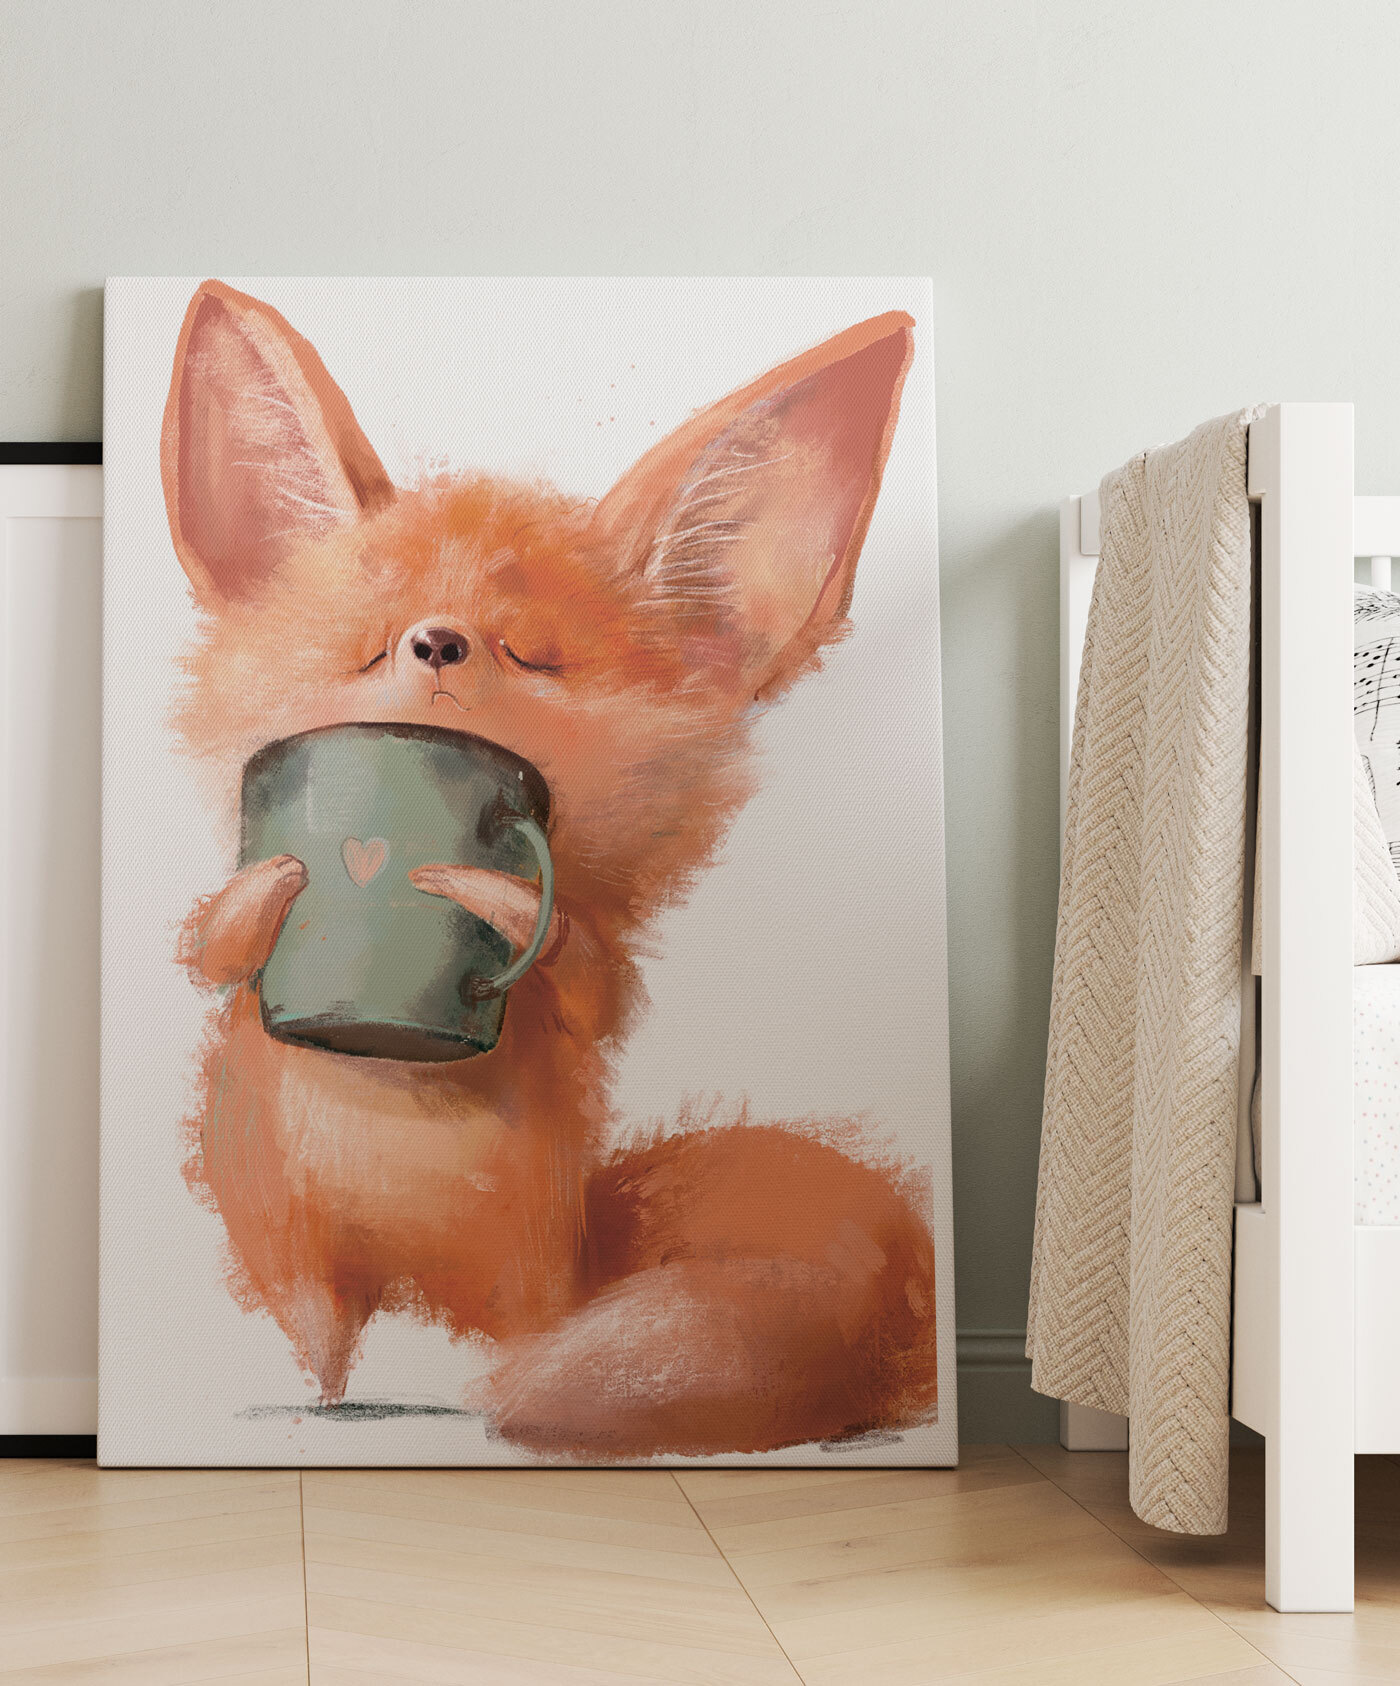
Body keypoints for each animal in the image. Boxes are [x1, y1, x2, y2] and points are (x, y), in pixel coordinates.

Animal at [163, 279, 937, 1458]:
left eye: (530, 653)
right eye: (369, 642)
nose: (437, 643)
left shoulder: (590, 979)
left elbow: (587, 976)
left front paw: (497, 894)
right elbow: (213, 947)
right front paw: (274, 886)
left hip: (524, 1289)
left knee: (501, 1346)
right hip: (301, 1272)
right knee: (325, 1356)